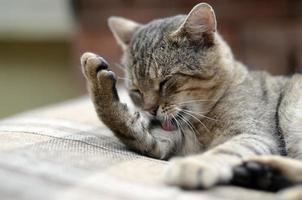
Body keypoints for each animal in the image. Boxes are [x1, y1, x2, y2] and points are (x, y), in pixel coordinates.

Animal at [79, 2, 302, 199]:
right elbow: (126, 127)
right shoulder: (174, 144)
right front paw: (97, 82)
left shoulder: (254, 134)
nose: (150, 110)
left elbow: (225, 150)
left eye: (165, 81)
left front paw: (196, 165)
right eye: (136, 90)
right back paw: (262, 173)